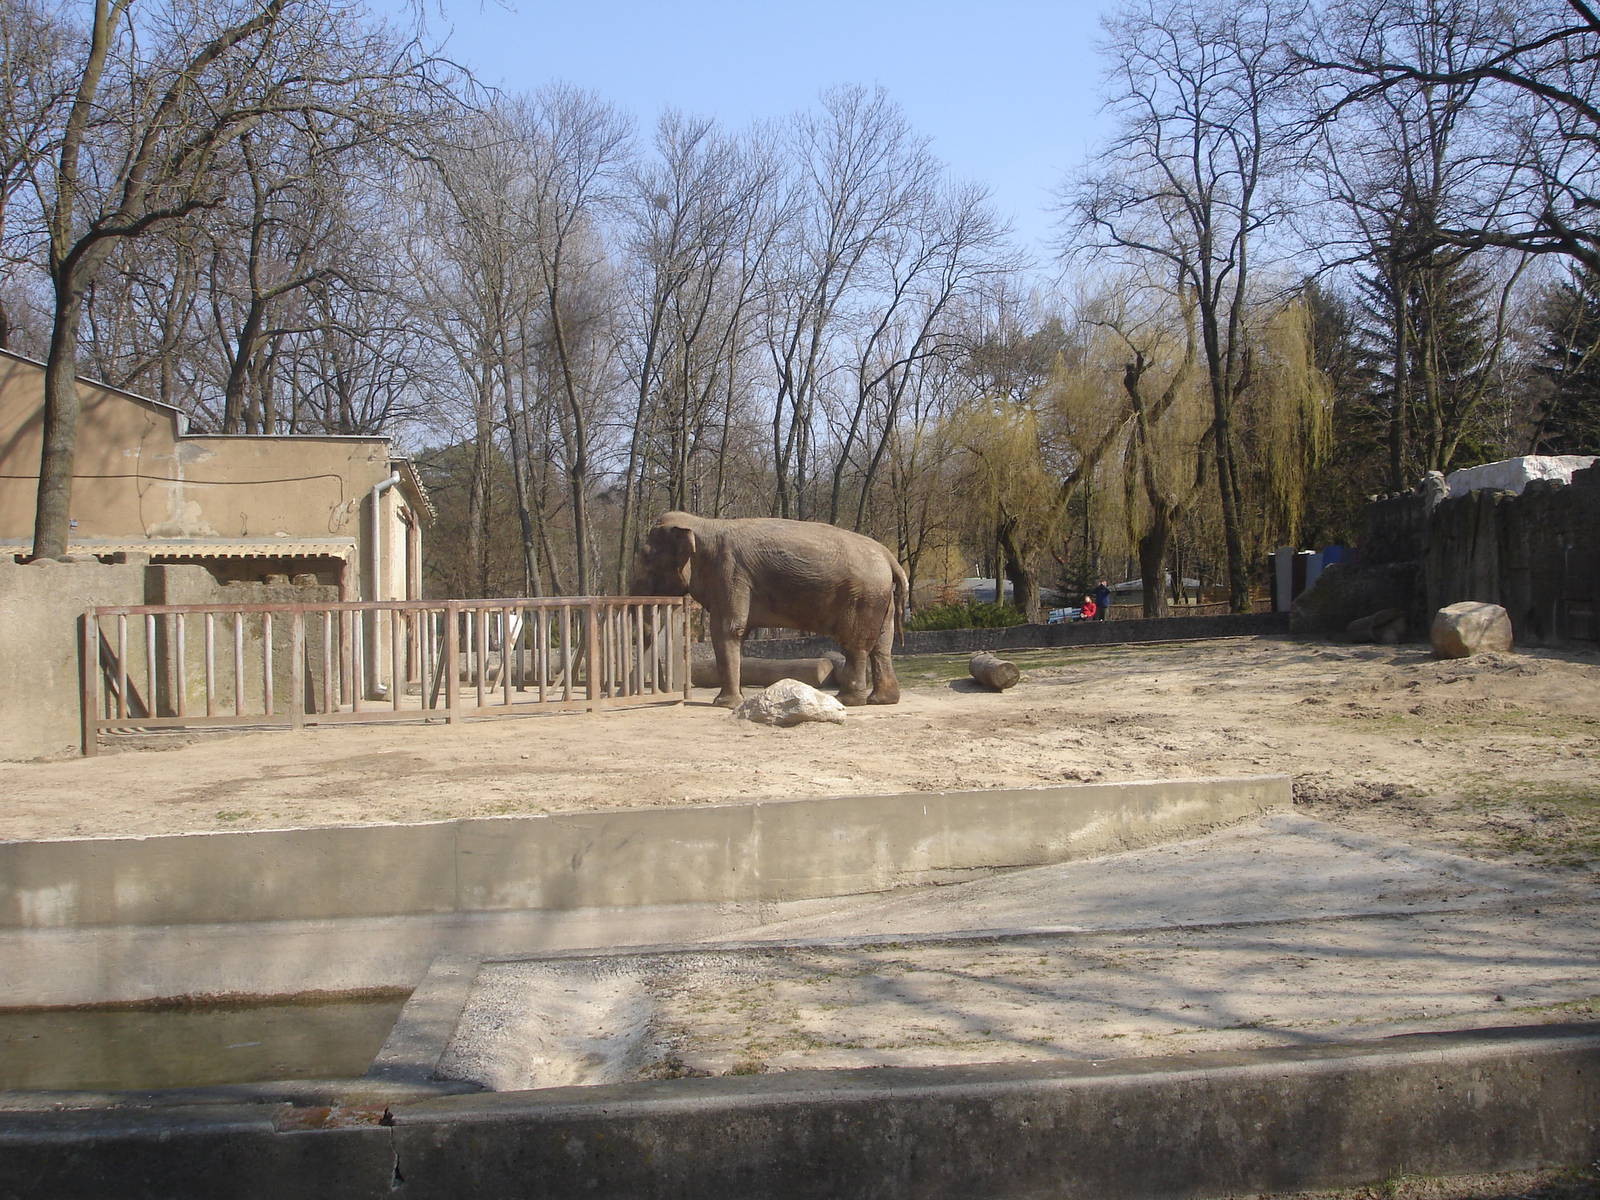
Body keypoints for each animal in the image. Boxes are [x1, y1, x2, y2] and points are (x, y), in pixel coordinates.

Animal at [630, 511, 908, 707]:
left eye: (646, 559)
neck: (703, 524)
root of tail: (889, 556)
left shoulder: (729, 572)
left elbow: (727, 630)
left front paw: (724, 704)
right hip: (880, 598)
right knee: (882, 645)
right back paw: (882, 700)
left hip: (863, 596)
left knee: (855, 645)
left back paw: (848, 700)